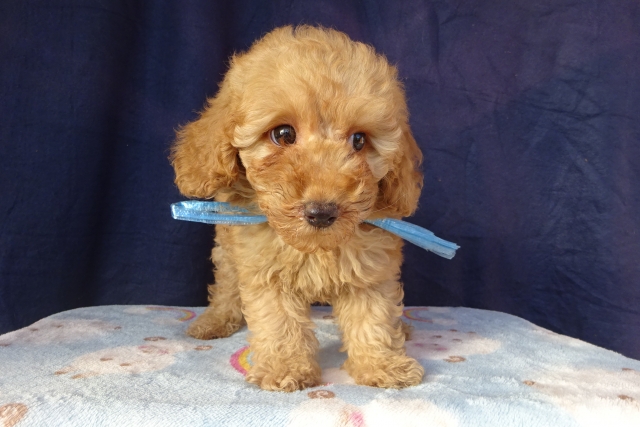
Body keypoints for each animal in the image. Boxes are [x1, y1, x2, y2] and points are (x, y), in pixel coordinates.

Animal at [171, 26, 424, 391]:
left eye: (359, 141)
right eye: (283, 134)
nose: (322, 212)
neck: (313, 248)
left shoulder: (370, 269)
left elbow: (373, 317)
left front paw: (383, 365)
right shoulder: (264, 270)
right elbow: (279, 322)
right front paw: (285, 367)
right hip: (227, 249)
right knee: (227, 286)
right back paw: (214, 321)